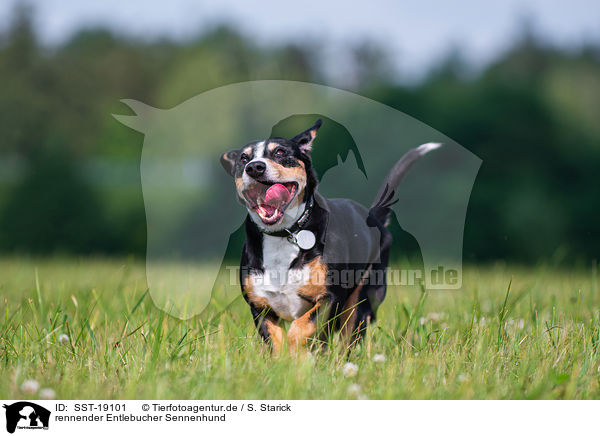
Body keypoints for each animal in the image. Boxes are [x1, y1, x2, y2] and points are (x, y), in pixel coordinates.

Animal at [221, 120, 440, 354]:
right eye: (243, 159)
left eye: (280, 152)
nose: (254, 167)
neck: (284, 234)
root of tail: (374, 218)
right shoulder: (260, 307)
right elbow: (277, 341)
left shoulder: (330, 298)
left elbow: (300, 327)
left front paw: (297, 355)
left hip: (361, 300)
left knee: (349, 337)